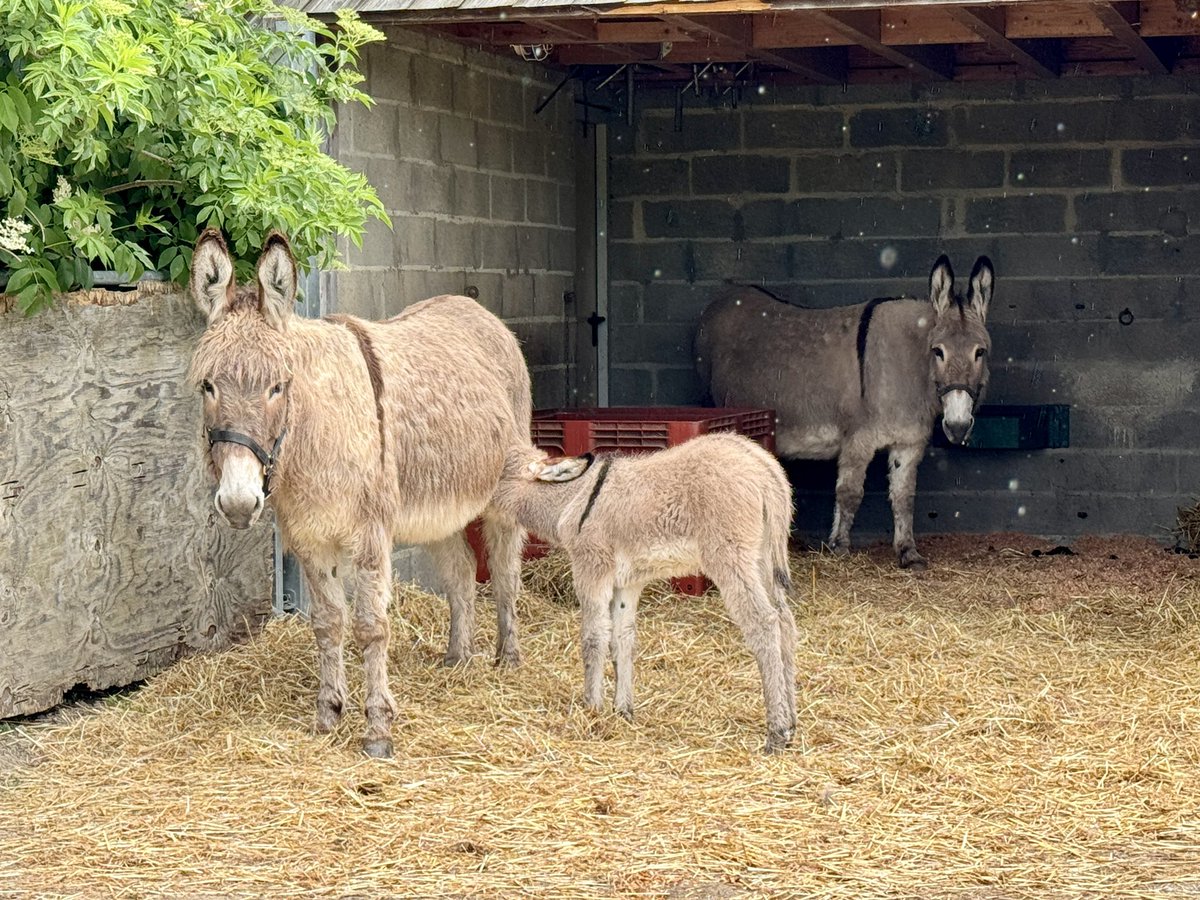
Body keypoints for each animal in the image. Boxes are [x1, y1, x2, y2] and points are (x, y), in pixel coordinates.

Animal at [492, 434, 801, 748]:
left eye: (498, 474)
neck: (574, 499)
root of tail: (763, 467)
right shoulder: (626, 583)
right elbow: (622, 639)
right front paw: (622, 711)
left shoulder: (591, 568)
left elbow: (593, 637)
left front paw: (591, 707)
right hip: (762, 558)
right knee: (785, 621)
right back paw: (791, 722)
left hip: (730, 558)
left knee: (763, 622)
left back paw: (776, 732)